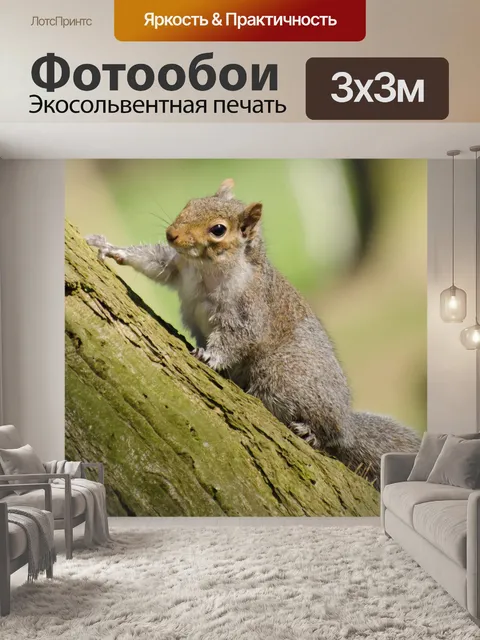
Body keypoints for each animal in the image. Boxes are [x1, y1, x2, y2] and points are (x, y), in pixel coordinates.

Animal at [86, 178, 421, 488]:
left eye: (218, 230)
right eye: (191, 203)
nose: (172, 234)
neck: (207, 267)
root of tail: (347, 420)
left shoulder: (248, 310)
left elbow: (236, 337)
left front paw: (210, 356)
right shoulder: (177, 266)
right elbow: (153, 261)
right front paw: (110, 248)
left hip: (284, 375)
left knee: (331, 434)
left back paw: (312, 433)